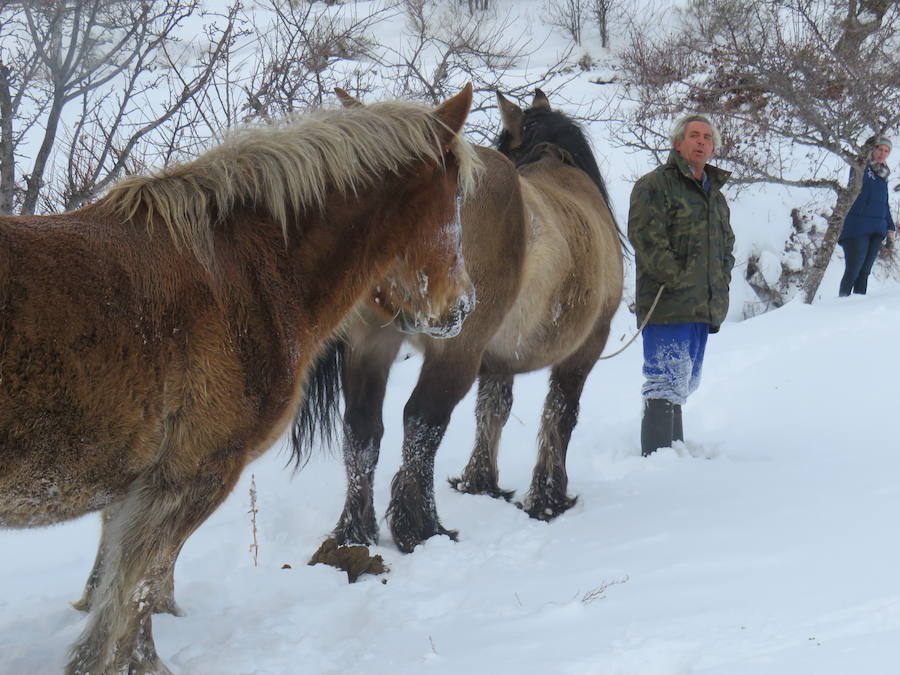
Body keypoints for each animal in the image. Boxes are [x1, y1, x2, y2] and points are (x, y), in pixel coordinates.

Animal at [0, 87, 478, 675]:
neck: (244, 274)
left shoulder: (133, 491)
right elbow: (131, 601)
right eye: (457, 194)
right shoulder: (189, 478)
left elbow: (117, 590)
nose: (461, 308)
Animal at [298, 90, 624, 556]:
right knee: (421, 422)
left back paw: (354, 534)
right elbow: (559, 414)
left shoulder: (499, 358)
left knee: (363, 428)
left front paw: (480, 482)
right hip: (454, 351)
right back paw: (422, 527)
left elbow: (493, 409)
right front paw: (547, 499)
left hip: (373, 346)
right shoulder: (584, 350)